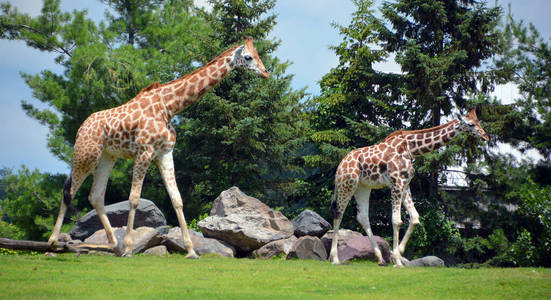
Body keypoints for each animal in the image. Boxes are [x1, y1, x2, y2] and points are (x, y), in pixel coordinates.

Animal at [47, 37, 270, 258]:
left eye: (257, 54)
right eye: (248, 57)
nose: (266, 72)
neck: (169, 107)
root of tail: (80, 129)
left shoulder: (165, 152)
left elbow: (176, 199)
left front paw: (191, 250)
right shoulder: (144, 152)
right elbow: (134, 198)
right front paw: (129, 248)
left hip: (107, 157)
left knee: (95, 196)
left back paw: (114, 245)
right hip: (86, 155)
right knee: (68, 191)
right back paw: (53, 244)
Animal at [328, 109, 488, 266]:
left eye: (478, 122)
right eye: (470, 124)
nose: (485, 136)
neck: (411, 148)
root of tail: (340, 165)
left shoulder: (405, 184)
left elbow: (415, 218)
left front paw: (398, 252)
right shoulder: (396, 182)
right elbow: (396, 220)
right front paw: (398, 261)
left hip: (363, 187)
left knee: (362, 217)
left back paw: (380, 258)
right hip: (347, 184)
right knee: (338, 213)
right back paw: (335, 259)